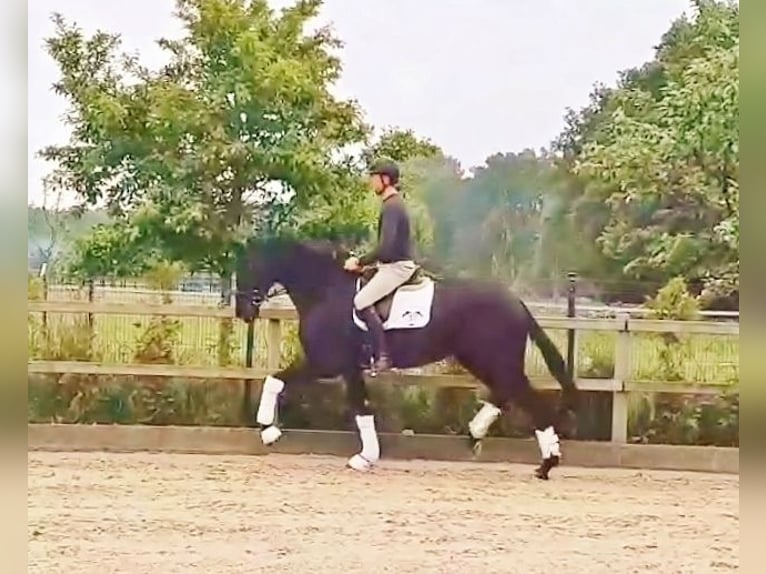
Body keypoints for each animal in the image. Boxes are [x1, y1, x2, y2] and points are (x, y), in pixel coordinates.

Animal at [234, 237, 584, 482]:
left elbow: (276, 380)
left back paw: (546, 464)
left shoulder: (326, 362)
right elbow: (361, 408)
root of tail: (515, 302)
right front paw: (366, 456)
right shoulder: (348, 369)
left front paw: (267, 430)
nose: (243, 312)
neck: (325, 291)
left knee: (527, 399)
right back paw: (476, 434)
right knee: (506, 393)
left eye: (249, 268)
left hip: (496, 360)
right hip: (481, 359)